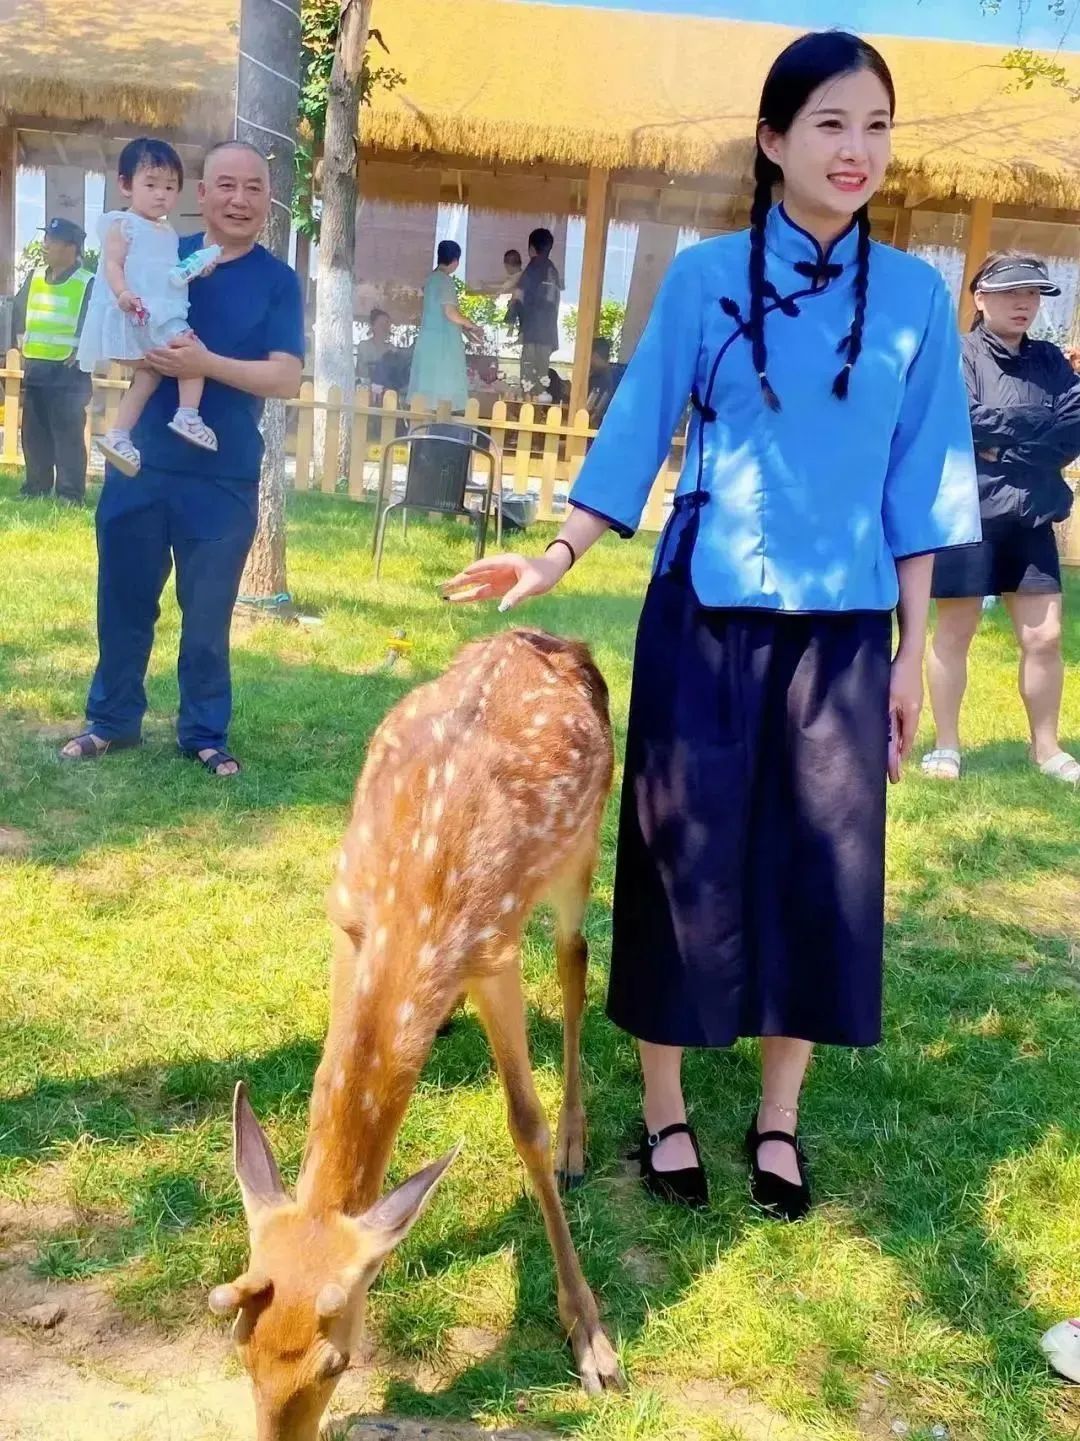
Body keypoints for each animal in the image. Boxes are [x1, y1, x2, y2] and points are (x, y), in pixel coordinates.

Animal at [209, 625, 622, 1435]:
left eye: (338, 1362)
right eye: (239, 1344)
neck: (414, 896)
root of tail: (552, 636)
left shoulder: (492, 947)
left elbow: (523, 1122)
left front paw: (590, 1336)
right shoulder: (347, 922)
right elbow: (323, 1077)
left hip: (581, 851)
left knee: (575, 960)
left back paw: (575, 1143)